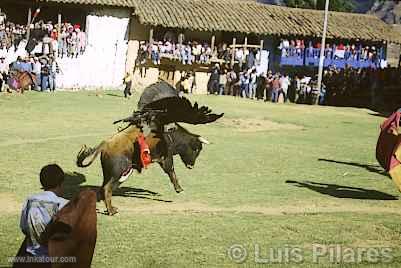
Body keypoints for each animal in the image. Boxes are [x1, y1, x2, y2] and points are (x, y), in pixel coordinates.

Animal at [75, 122, 208, 215]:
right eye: (196, 149)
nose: (191, 166)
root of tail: (106, 144)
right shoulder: (166, 157)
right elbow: (171, 171)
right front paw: (179, 188)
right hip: (118, 172)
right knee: (107, 188)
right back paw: (112, 211)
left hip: (109, 174)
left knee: (103, 188)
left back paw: (109, 208)